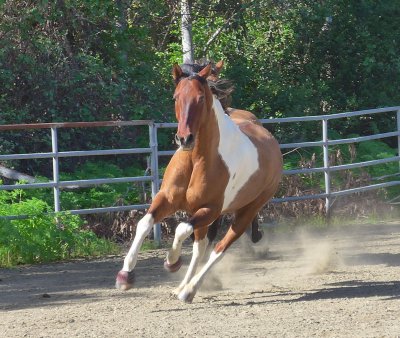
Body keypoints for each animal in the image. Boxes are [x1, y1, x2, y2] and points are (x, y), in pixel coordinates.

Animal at [115, 63, 282, 304]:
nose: (185, 138)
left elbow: (182, 229)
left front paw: (172, 261)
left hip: (246, 212)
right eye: (176, 97)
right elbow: (145, 224)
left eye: (201, 98)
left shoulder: (209, 209)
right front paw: (125, 276)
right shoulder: (167, 199)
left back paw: (189, 290)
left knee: (219, 248)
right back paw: (181, 287)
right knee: (201, 247)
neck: (197, 159)